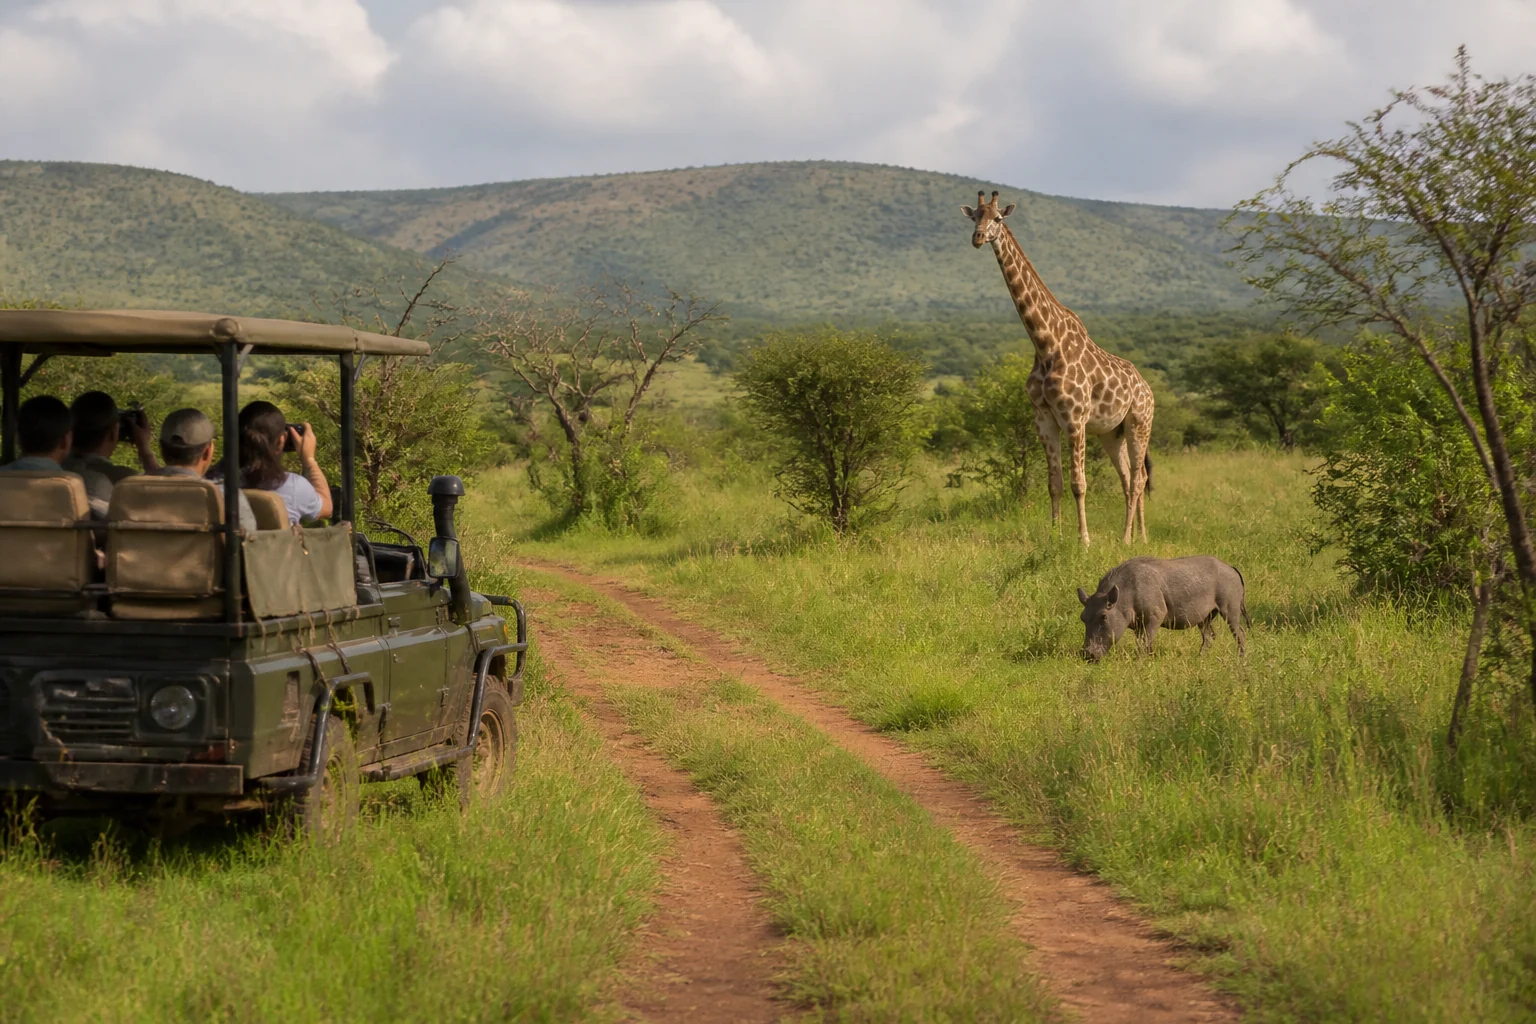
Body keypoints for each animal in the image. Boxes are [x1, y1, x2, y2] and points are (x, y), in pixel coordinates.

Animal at [962, 190, 1154, 546]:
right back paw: (1138, 537)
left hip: (1139, 423)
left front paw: (1084, 541)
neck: (1045, 343)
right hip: (1112, 432)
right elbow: (1055, 483)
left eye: (998, 218)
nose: (978, 238)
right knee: (1128, 477)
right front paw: (1055, 537)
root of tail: (1148, 388)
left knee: (1138, 478)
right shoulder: (1044, 418)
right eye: (974, 217)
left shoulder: (1075, 418)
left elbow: (1079, 483)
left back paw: (1126, 539)